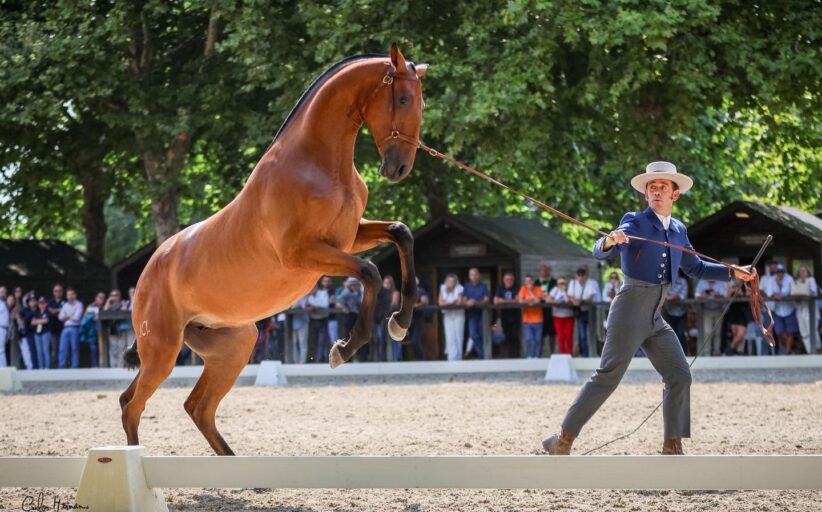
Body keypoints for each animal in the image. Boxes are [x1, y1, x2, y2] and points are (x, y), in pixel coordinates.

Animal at [119, 45, 428, 455]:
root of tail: (145, 277)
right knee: (131, 404)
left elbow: (401, 234)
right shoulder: (305, 254)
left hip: (234, 346)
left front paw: (400, 322)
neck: (317, 164)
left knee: (198, 407)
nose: (399, 168)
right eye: (403, 98)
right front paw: (344, 348)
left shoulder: (349, 238)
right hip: (161, 352)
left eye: (421, 102)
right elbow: (370, 273)